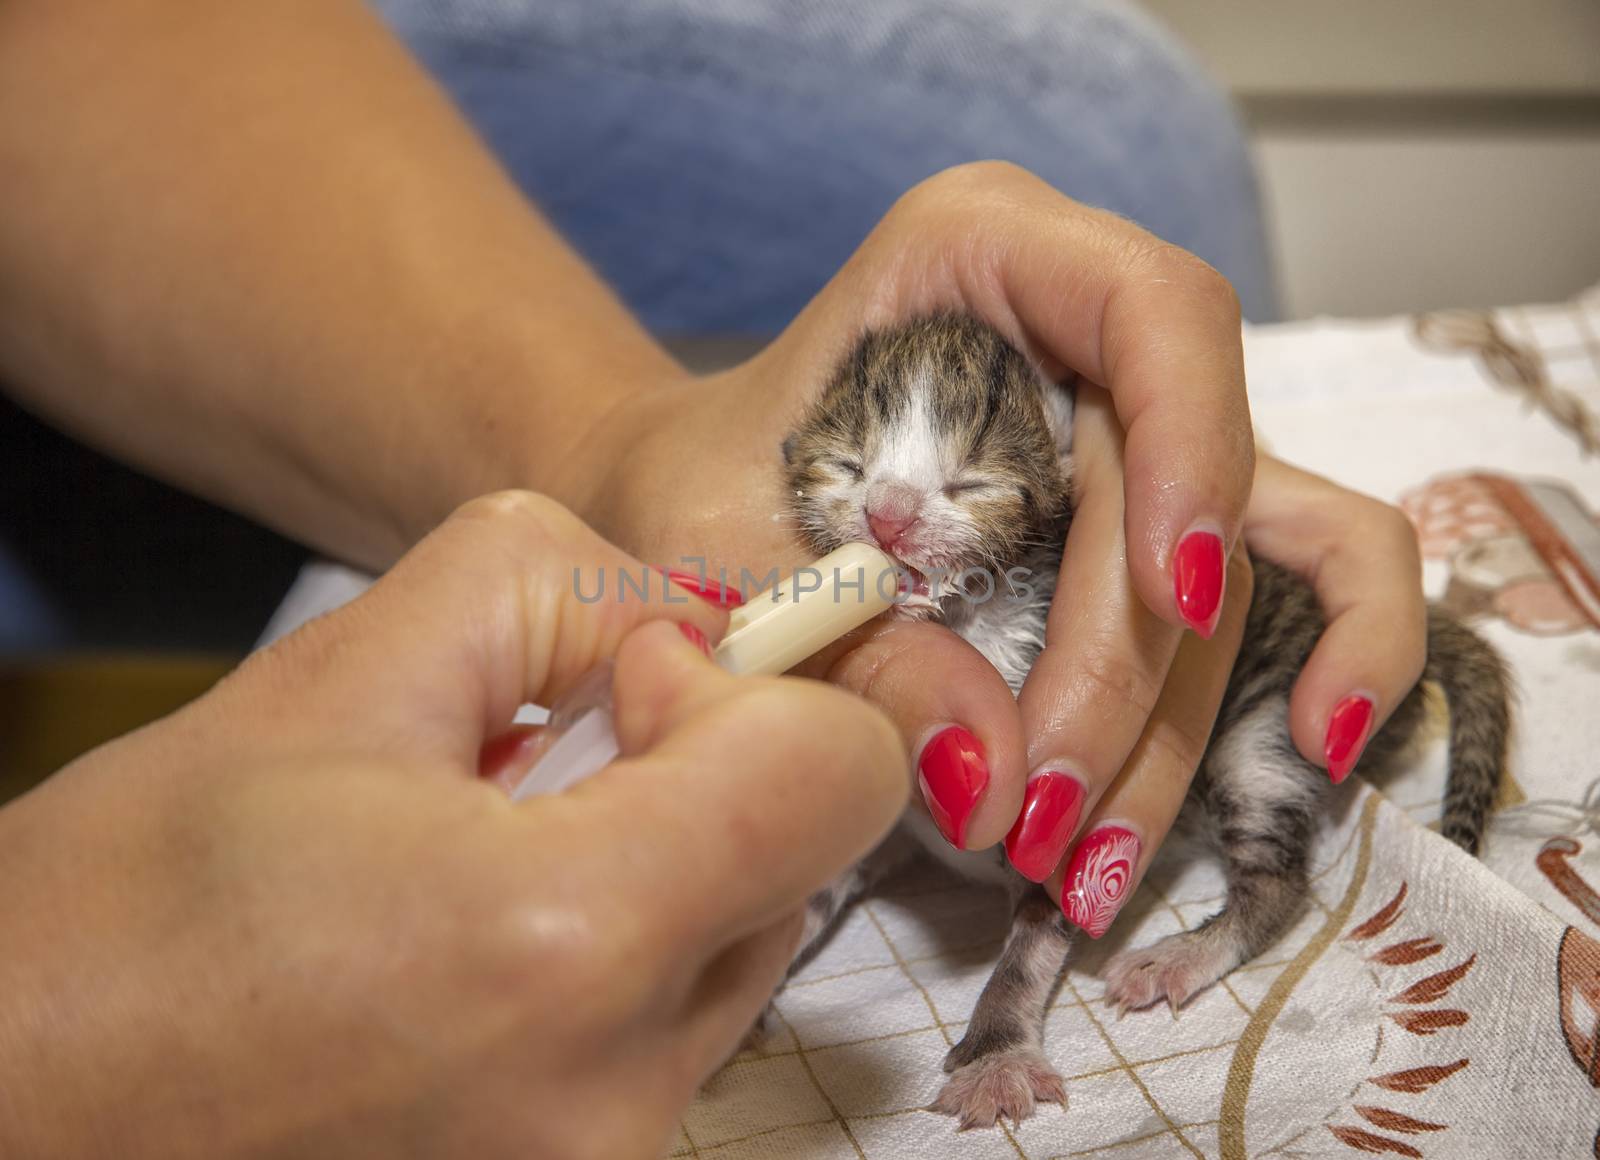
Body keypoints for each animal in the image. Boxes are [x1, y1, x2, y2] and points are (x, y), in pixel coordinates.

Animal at [774, 312, 1510, 1126]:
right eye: (847, 465)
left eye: (971, 482)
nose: (889, 517)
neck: (976, 626)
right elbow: (812, 895)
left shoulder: (1062, 817)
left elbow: (1030, 946)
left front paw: (996, 1054)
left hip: (1267, 727)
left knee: (1277, 883)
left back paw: (1183, 955)